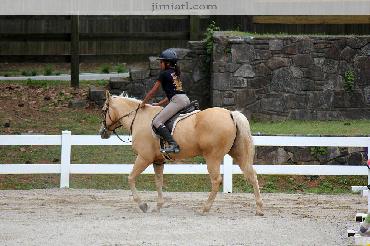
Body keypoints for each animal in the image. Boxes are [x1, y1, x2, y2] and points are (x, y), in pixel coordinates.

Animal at [99, 91, 264, 215]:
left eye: (103, 110)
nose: (102, 132)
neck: (139, 118)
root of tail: (230, 113)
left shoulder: (144, 158)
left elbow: (131, 178)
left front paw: (142, 205)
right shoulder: (158, 161)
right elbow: (158, 182)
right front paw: (158, 206)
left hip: (213, 157)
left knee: (216, 180)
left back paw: (205, 208)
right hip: (238, 154)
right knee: (251, 175)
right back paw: (259, 208)